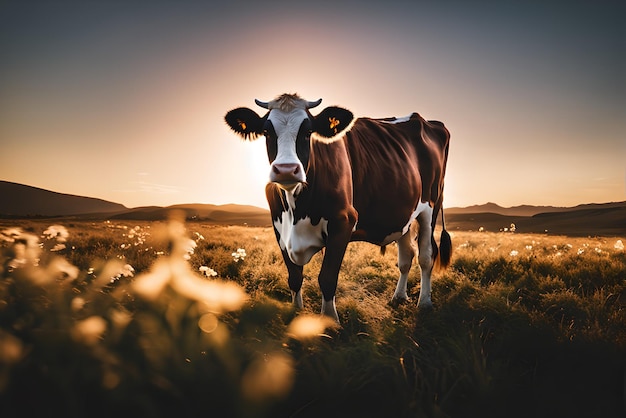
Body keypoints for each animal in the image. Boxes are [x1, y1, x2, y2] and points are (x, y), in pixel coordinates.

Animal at [224, 94, 448, 324]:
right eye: (267, 132)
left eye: (308, 132)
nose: (286, 169)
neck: (296, 210)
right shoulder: (279, 227)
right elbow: (294, 278)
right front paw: (296, 314)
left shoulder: (343, 222)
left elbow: (327, 278)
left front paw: (330, 321)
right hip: (404, 214)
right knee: (406, 256)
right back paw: (399, 297)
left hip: (431, 206)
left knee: (426, 257)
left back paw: (425, 302)